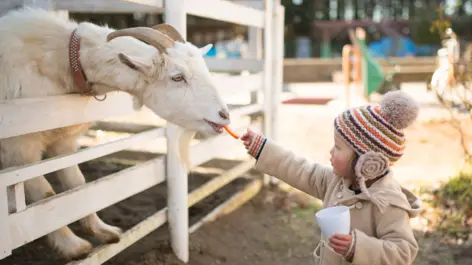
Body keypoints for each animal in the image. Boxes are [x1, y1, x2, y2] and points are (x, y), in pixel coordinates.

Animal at [0, 7, 231, 258]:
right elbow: (46, 194)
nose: (224, 115)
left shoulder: (63, 141)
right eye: (177, 77)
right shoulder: (20, 150)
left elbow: (77, 185)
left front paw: (105, 232)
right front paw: (73, 246)